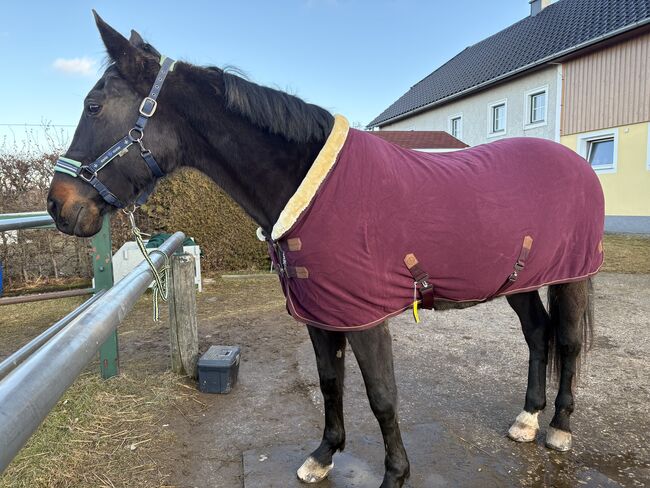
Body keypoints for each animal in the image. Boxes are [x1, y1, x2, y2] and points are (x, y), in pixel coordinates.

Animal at [47, 13, 604, 488]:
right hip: (519, 279)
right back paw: (527, 419)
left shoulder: (364, 317)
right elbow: (330, 382)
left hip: (571, 277)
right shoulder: (322, 313)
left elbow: (381, 397)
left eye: (94, 107)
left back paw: (558, 428)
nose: (58, 205)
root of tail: (577, 164)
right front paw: (323, 456)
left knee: (569, 341)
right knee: (537, 334)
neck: (314, 188)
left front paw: (395, 475)